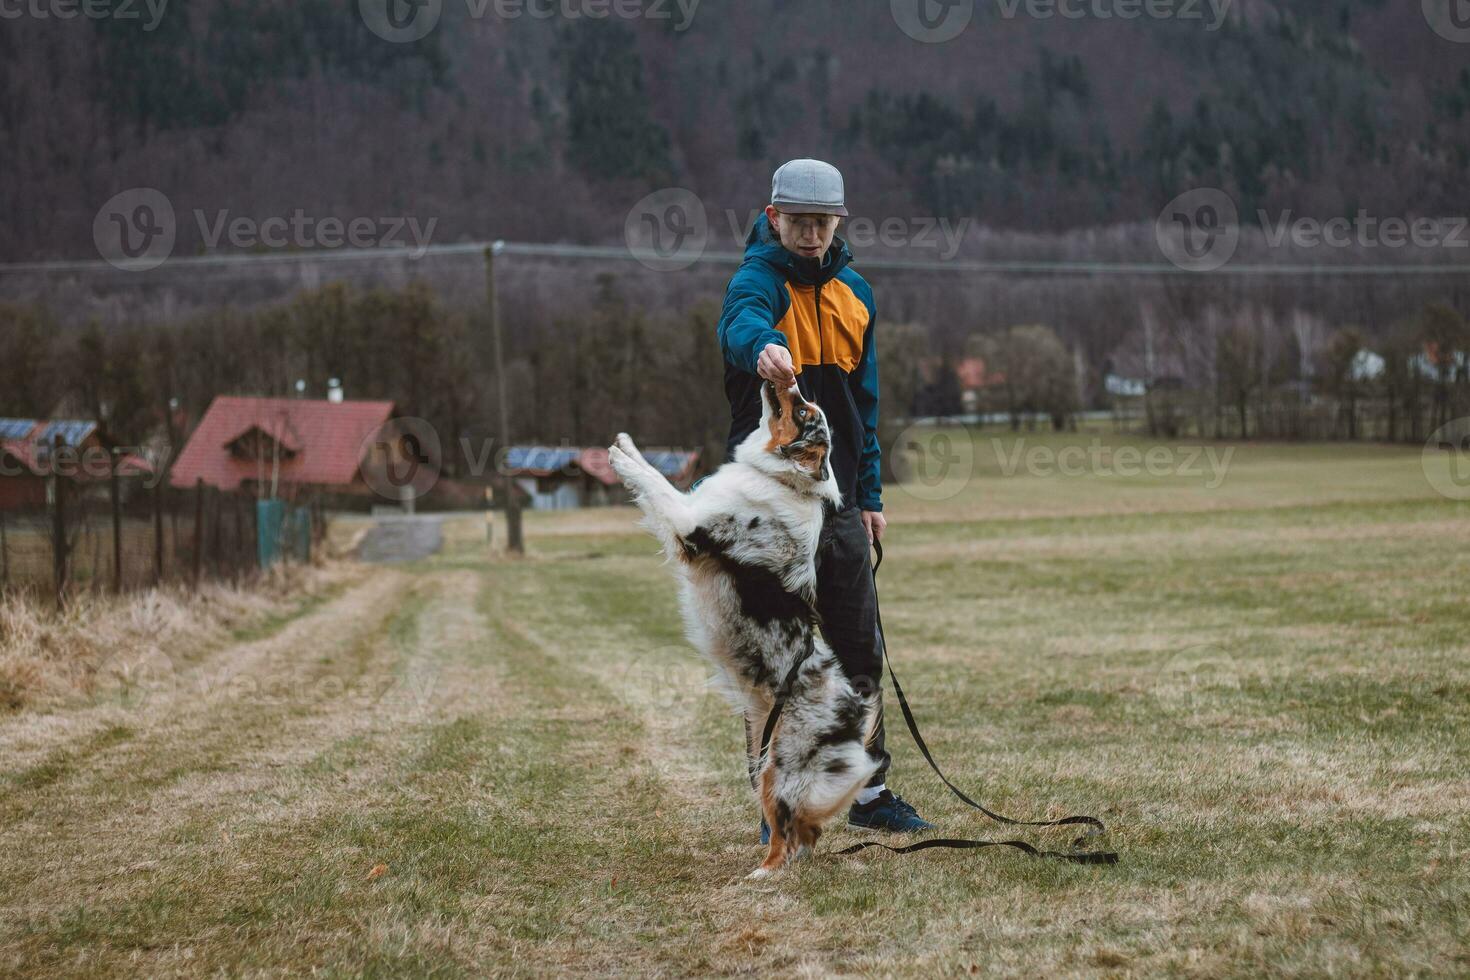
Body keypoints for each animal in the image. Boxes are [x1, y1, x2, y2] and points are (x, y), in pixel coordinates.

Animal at [605, 379, 876, 875]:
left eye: (803, 411)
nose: (783, 376)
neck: (782, 479)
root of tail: (852, 715)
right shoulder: (689, 511)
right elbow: (655, 472)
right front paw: (628, 444)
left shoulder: (689, 520)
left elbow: (655, 484)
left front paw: (619, 459)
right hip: (761, 755)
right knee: (804, 835)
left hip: (780, 767)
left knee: (788, 838)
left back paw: (760, 875)